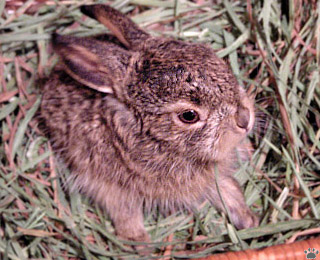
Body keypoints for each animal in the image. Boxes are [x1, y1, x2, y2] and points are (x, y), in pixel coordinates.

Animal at [38, 3, 258, 248]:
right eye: (189, 116)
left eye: (219, 63)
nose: (244, 119)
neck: (157, 140)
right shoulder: (108, 185)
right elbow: (125, 213)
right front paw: (140, 243)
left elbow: (227, 190)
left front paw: (249, 219)